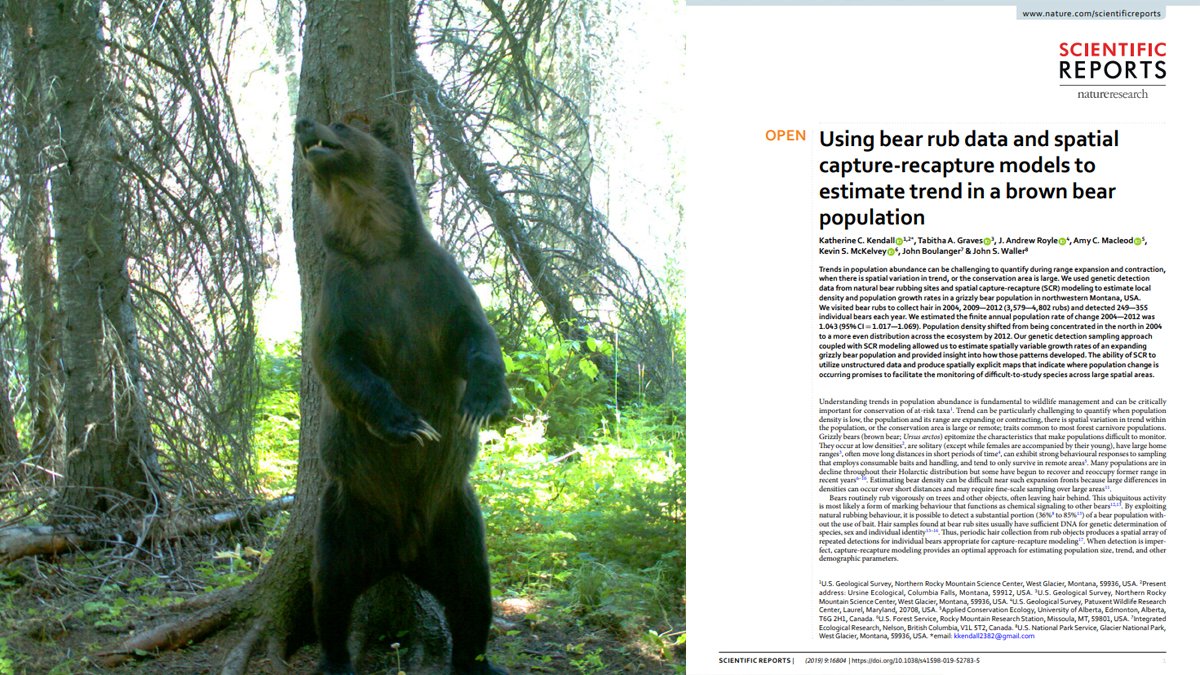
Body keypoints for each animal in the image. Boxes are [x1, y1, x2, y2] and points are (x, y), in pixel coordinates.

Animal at [295, 115, 511, 675]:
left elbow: (476, 336)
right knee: (328, 591)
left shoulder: (434, 281)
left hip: (454, 517)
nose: (304, 123)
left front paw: (482, 404)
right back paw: (334, 659)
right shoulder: (345, 297)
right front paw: (411, 424)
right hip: (346, 511)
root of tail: (401, 551)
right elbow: (341, 363)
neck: (378, 249)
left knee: (474, 592)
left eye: (340, 123)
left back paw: (480, 661)